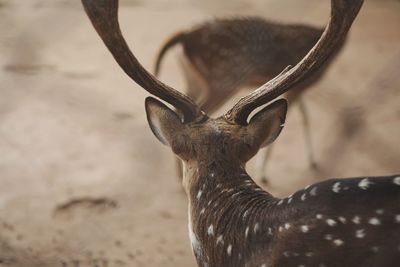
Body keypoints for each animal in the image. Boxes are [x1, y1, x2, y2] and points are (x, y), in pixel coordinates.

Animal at [155, 16, 346, 184]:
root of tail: (184, 36)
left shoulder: (298, 89)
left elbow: (304, 116)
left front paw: (312, 160)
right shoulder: (301, 86)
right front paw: (263, 173)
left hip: (193, 80)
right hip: (222, 81)